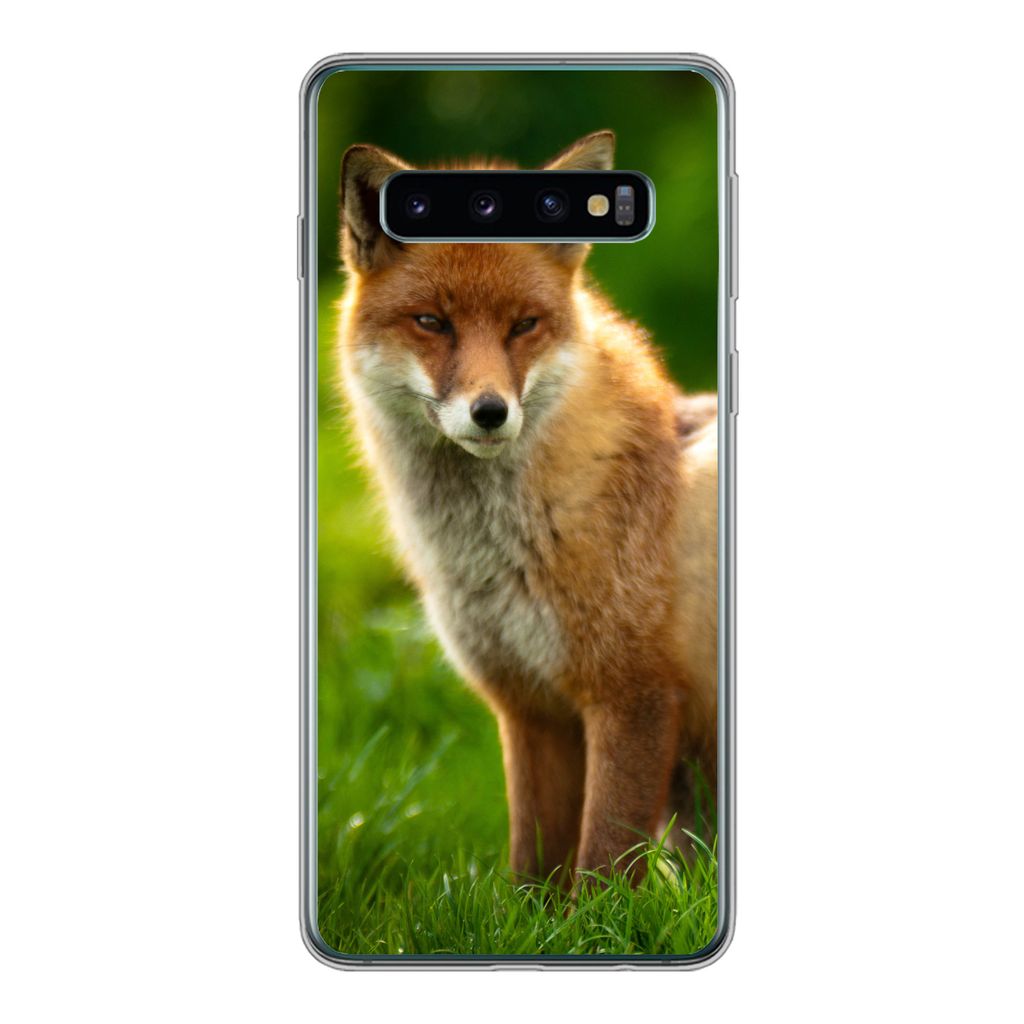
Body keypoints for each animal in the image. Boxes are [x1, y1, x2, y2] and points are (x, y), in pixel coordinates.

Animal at [335, 130, 718, 883]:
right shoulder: (528, 707)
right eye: (432, 322)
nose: (490, 412)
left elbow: (602, 865)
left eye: (523, 326)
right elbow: (531, 870)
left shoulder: (634, 696)